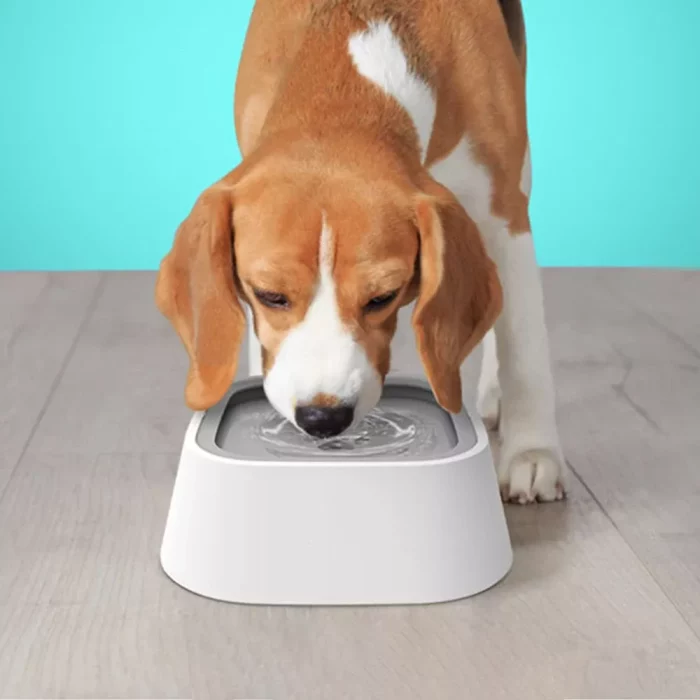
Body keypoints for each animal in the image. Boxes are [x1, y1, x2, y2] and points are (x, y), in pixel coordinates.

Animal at [156, 0, 568, 504]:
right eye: (269, 296)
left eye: (382, 298)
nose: (323, 418)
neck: (343, 92)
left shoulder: (505, 215)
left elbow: (525, 345)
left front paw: (532, 454)